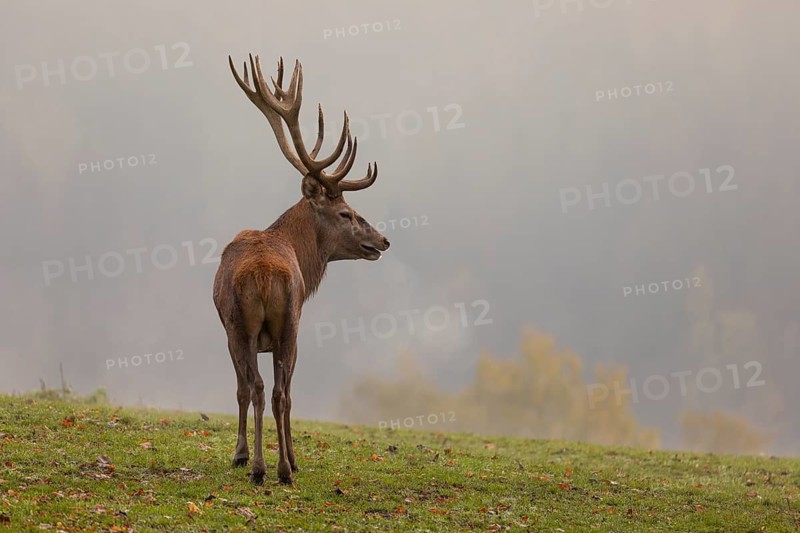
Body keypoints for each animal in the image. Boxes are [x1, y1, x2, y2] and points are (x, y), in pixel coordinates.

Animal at [212, 53, 390, 485]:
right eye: (347, 213)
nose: (383, 240)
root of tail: (263, 277)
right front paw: (269, 456)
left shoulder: (239, 331)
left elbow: (249, 389)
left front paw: (248, 455)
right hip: (277, 324)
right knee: (273, 391)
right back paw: (277, 466)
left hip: (253, 326)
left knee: (264, 389)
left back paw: (267, 467)